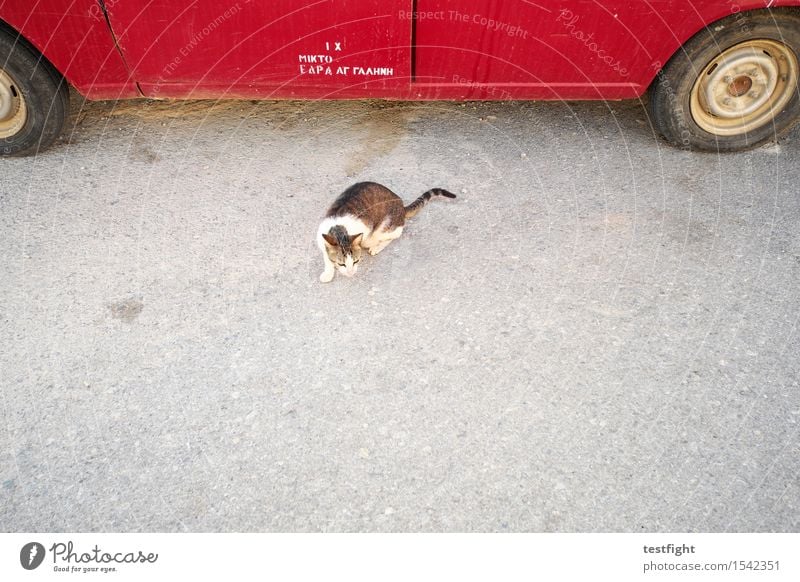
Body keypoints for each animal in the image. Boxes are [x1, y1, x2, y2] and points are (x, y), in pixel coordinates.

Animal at [318, 182, 456, 282]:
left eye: (356, 261)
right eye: (342, 264)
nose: (351, 273)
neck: (339, 228)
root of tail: (401, 206)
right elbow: (326, 257)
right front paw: (328, 272)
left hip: (383, 228)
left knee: (394, 235)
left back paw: (377, 247)